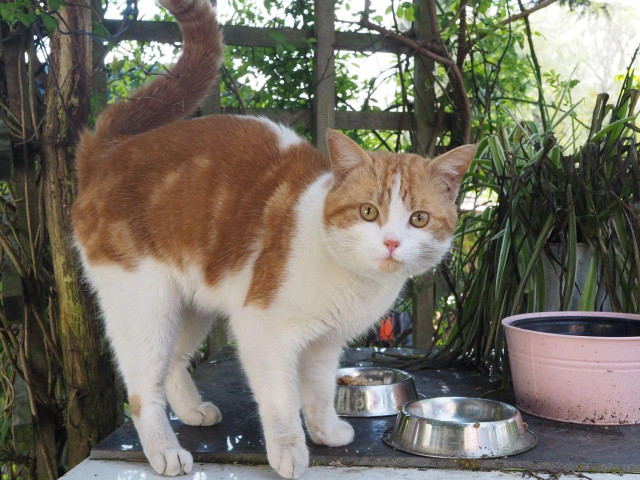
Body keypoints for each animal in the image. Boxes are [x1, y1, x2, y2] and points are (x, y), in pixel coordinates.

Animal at [72, 0, 478, 474]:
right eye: (369, 212)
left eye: (418, 218)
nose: (392, 242)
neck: (352, 278)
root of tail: (108, 151)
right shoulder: (262, 330)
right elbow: (282, 400)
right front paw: (289, 450)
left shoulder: (324, 343)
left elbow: (318, 391)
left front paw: (325, 431)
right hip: (146, 307)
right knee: (142, 389)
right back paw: (164, 451)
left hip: (189, 307)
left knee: (172, 363)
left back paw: (192, 410)